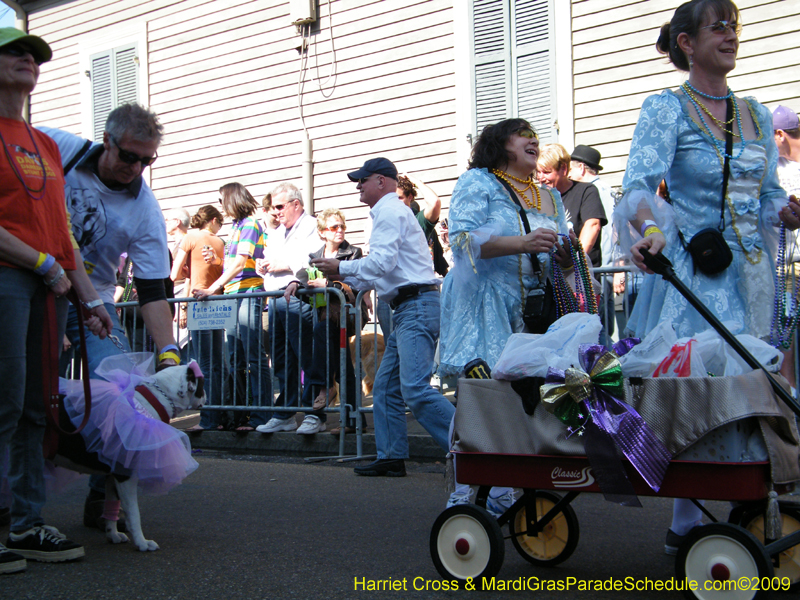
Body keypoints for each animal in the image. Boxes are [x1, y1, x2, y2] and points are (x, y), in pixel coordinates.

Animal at [52, 356, 205, 552]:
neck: (154, 400)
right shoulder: (126, 475)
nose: (206, 395)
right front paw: (142, 542)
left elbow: (112, 504)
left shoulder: (113, 472)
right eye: (202, 383)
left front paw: (113, 534)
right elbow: (134, 513)